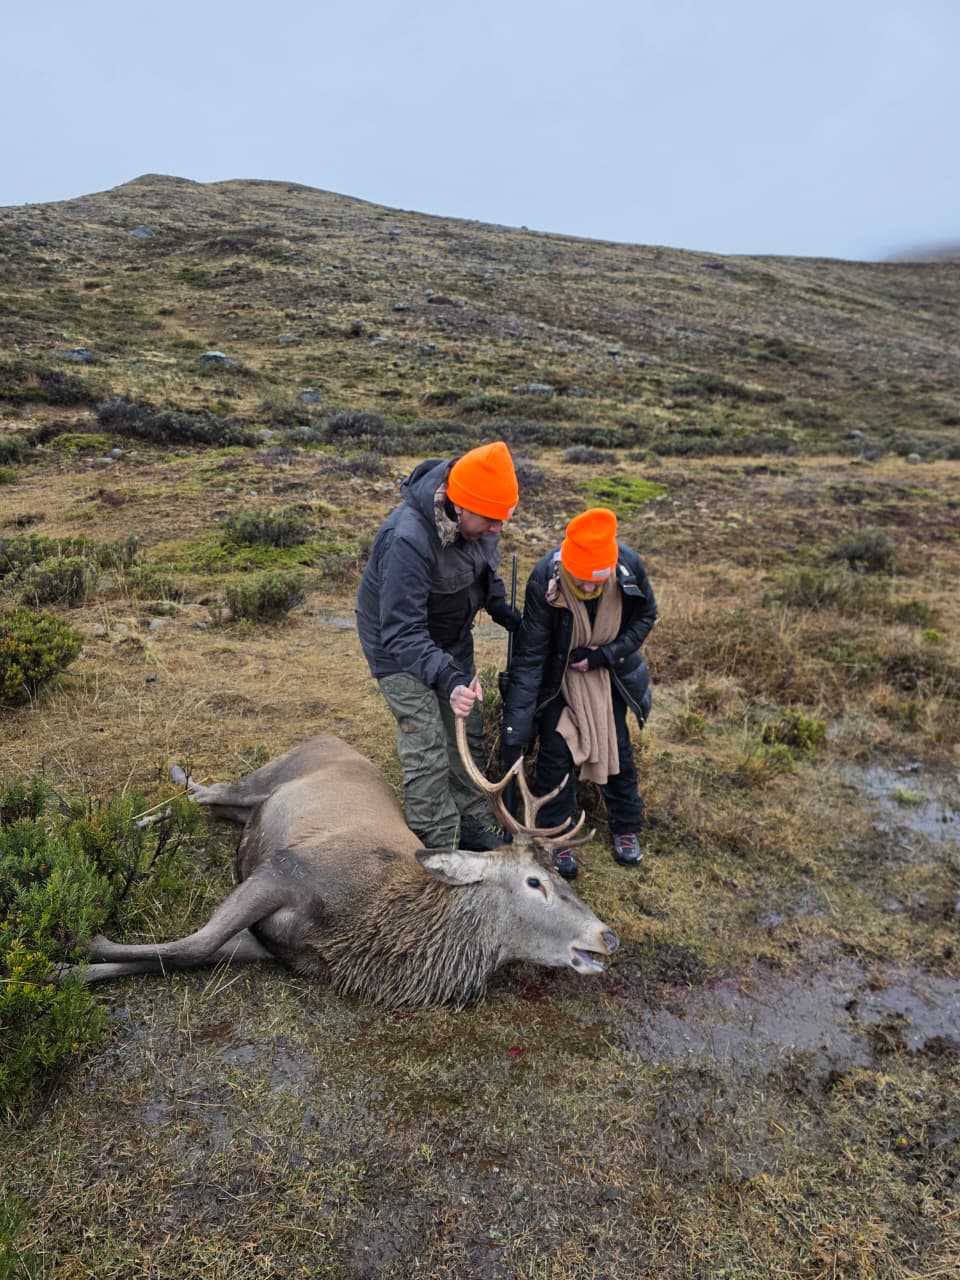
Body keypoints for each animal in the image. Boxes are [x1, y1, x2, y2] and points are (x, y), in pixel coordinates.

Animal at [65, 720, 618, 1009]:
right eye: (535, 882)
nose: (607, 935)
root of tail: (324, 736)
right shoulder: (285, 869)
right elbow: (191, 943)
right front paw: (78, 939)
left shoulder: (274, 948)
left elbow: (179, 956)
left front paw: (74, 972)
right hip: (268, 776)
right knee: (209, 790)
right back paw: (143, 806)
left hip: (249, 811)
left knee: (208, 801)